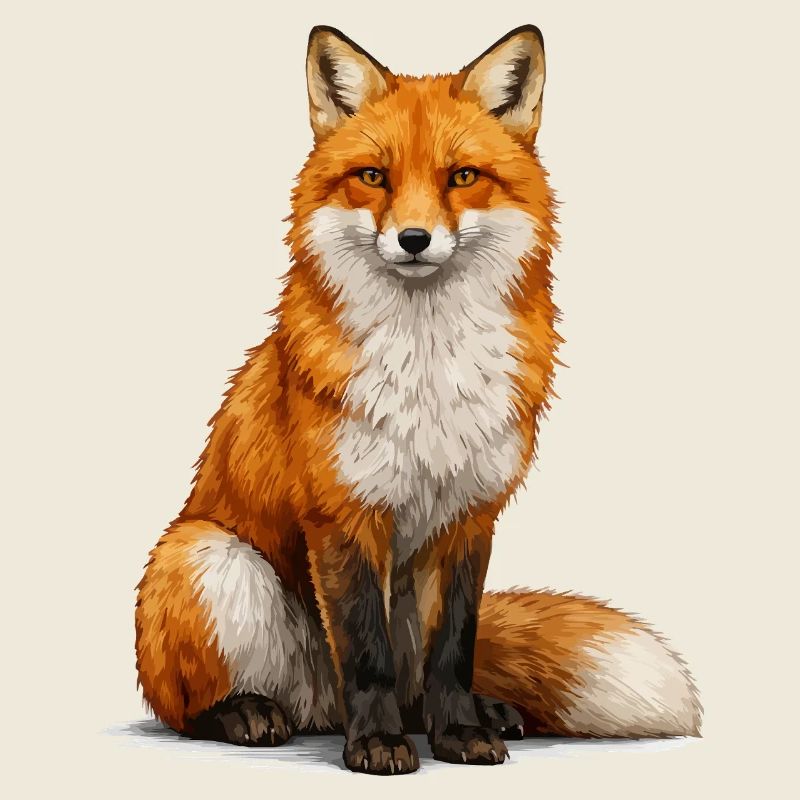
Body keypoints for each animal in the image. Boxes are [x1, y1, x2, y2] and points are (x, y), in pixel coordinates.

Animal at [135, 24, 701, 775]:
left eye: (461, 177)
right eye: (374, 177)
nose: (412, 239)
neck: (430, 369)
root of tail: (317, 707)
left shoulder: (470, 515)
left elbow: (453, 650)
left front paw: (459, 731)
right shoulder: (343, 514)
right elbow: (365, 651)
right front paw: (376, 745)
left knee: (418, 684)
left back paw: (469, 713)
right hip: (208, 558)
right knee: (190, 706)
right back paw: (248, 712)